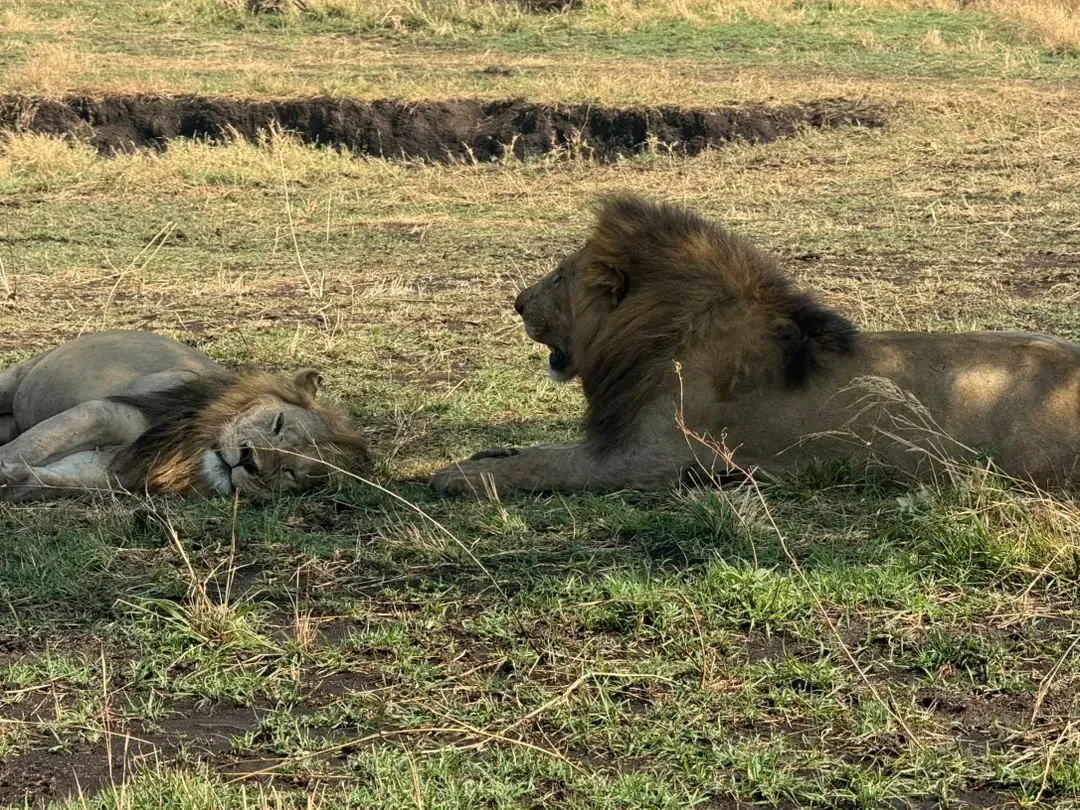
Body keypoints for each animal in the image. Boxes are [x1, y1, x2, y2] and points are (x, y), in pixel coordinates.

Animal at [0, 331, 371, 502]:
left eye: (290, 473)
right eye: (277, 423)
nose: (248, 462)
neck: (186, 450)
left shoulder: (109, 470)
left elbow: (49, 479)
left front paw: (13, 480)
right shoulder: (106, 411)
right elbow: (28, 446)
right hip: (14, 380)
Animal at [431, 194, 1080, 493]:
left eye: (559, 279)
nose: (517, 303)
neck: (656, 331)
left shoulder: (648, 460)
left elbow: (541, 464)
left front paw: (453, 474)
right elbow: (532, 449)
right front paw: (486, 454)